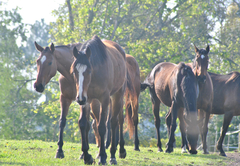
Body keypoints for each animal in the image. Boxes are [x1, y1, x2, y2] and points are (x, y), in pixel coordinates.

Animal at [70, 35, 127, 165]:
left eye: (89, 71)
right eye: (75, 72)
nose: (79, 98)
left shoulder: (104, 99)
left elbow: (102, 126)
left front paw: (102, 156)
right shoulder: (86, 100)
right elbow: (83, 124)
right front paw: (87, 156)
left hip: (117, 95)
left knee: (114, 122)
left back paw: (113, 154)